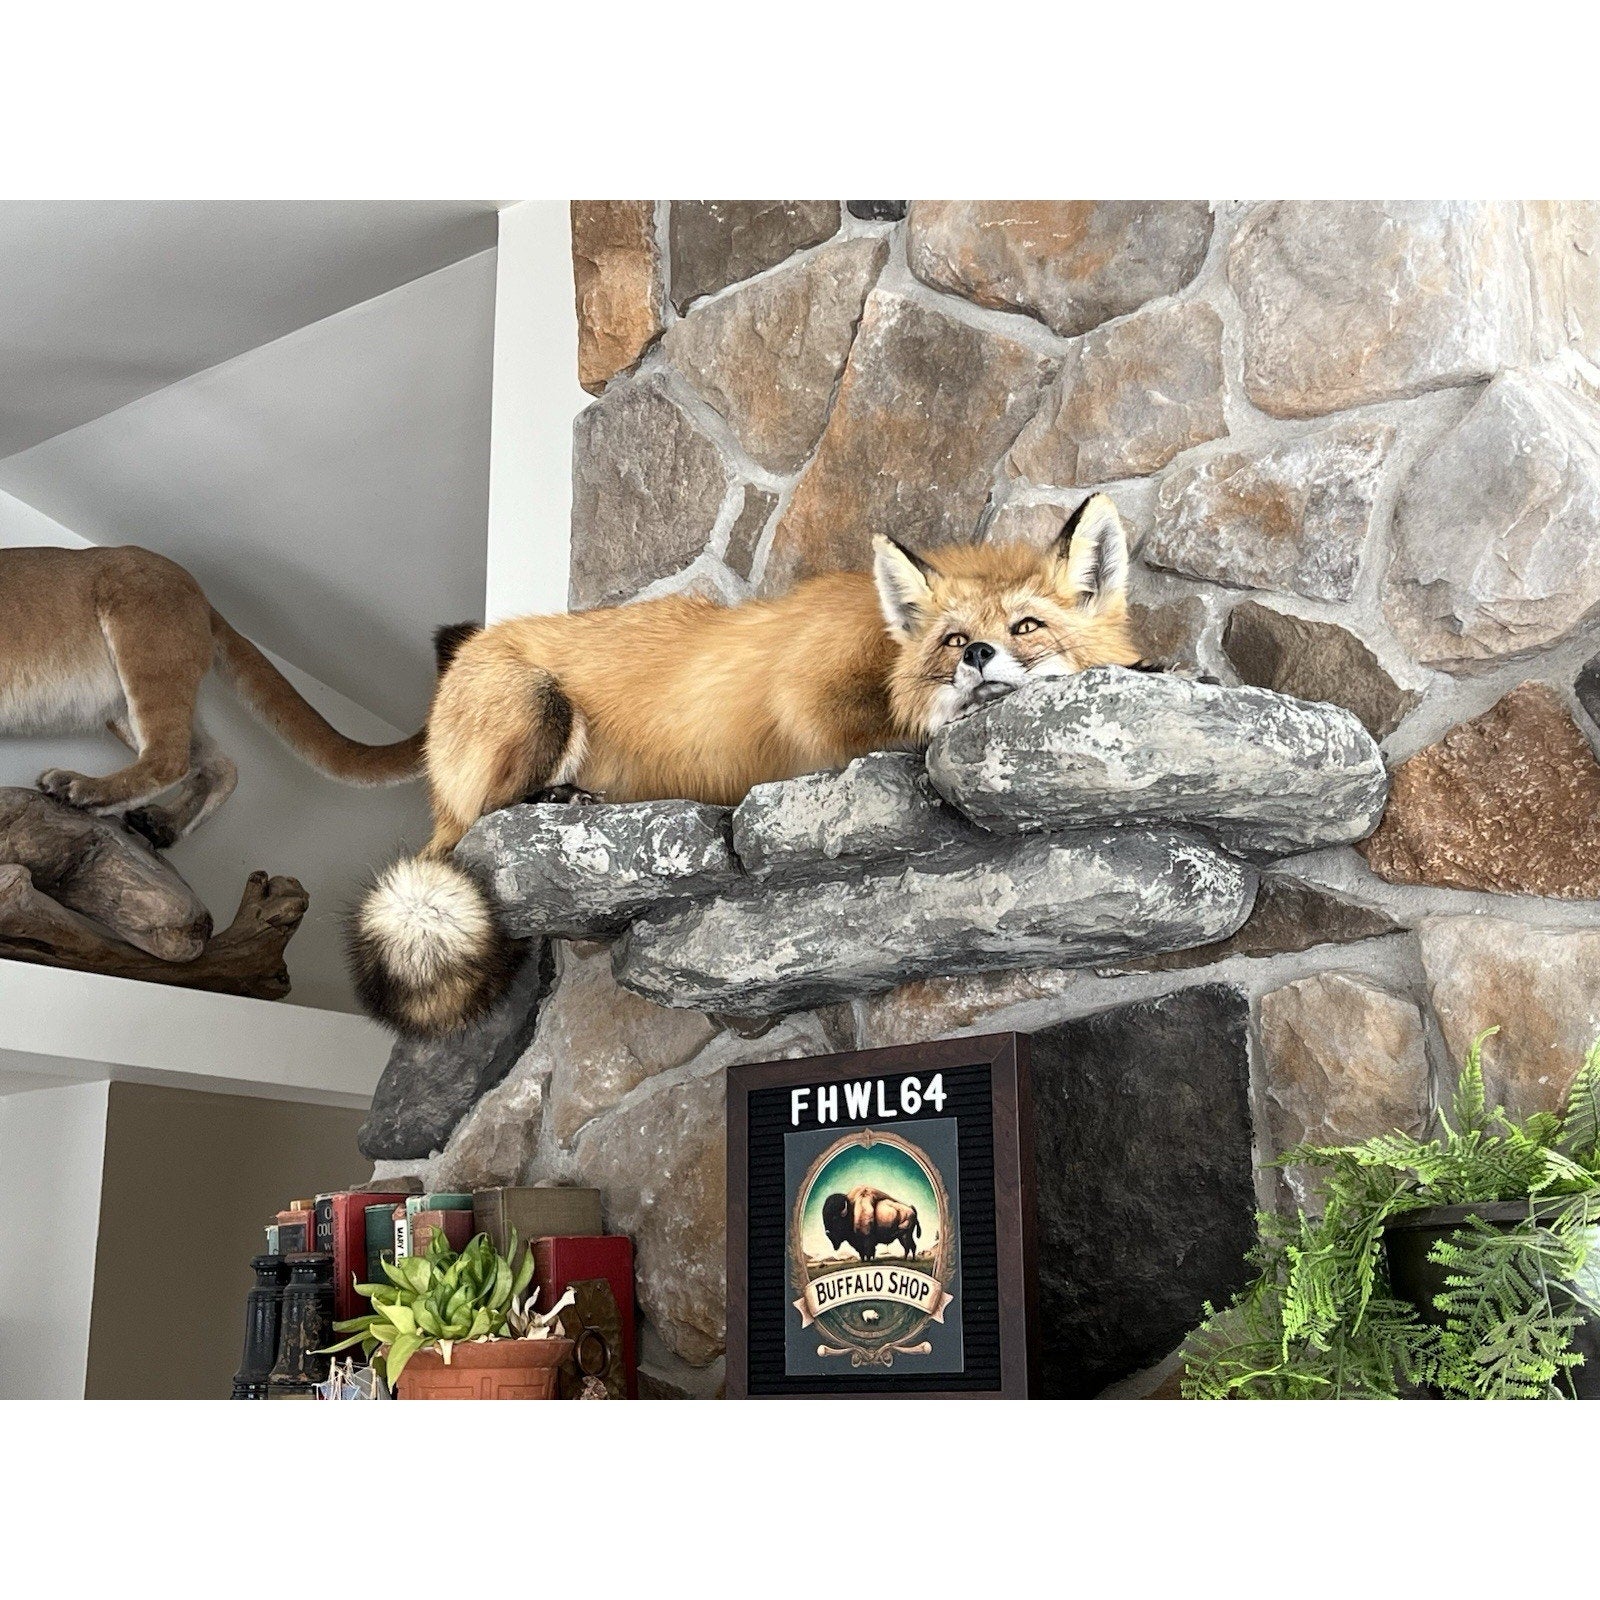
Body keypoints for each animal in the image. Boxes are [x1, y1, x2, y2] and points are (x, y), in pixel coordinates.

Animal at [351, 492, 1146, 1037]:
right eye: (955, 640)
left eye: (1026, 626)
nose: (978, 655)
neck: (881, 643)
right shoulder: (807, 699)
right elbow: (903, 732)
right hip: (536, 711)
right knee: (484, 822)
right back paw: (556, 802)